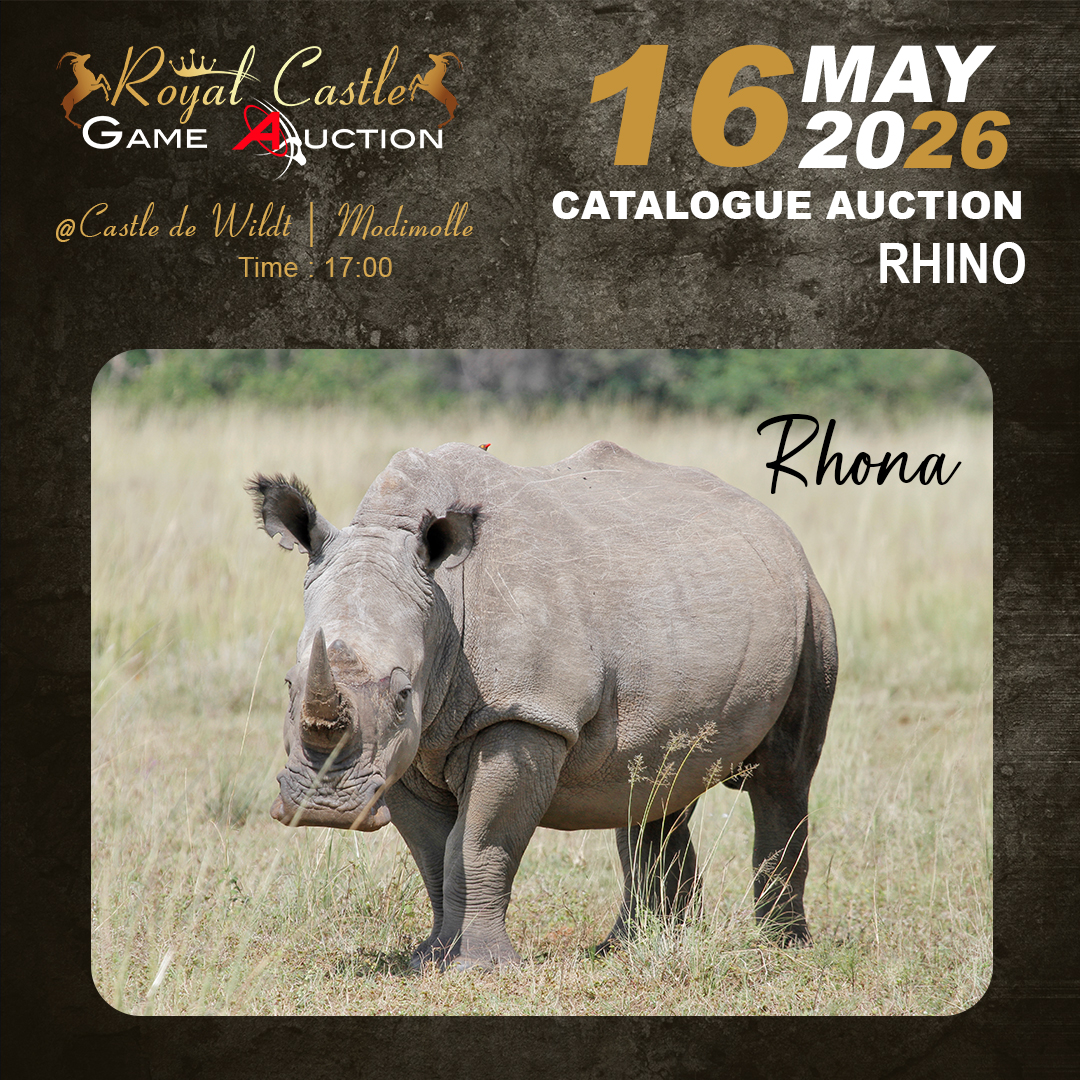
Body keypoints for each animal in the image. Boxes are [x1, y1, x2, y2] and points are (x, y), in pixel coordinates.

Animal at [248, 441, 836, 969]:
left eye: (402, 694)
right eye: (289, 684)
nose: (323, 808)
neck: (442, 605)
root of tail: (776, 526)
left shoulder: (525, 713)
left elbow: (479, 843)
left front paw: (480, 968)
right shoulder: (404, 751)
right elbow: (433, 854)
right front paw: (429, 959)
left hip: (811, 608)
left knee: (783, 779)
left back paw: (780, 947)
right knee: (656, 783)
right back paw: (625, 948)